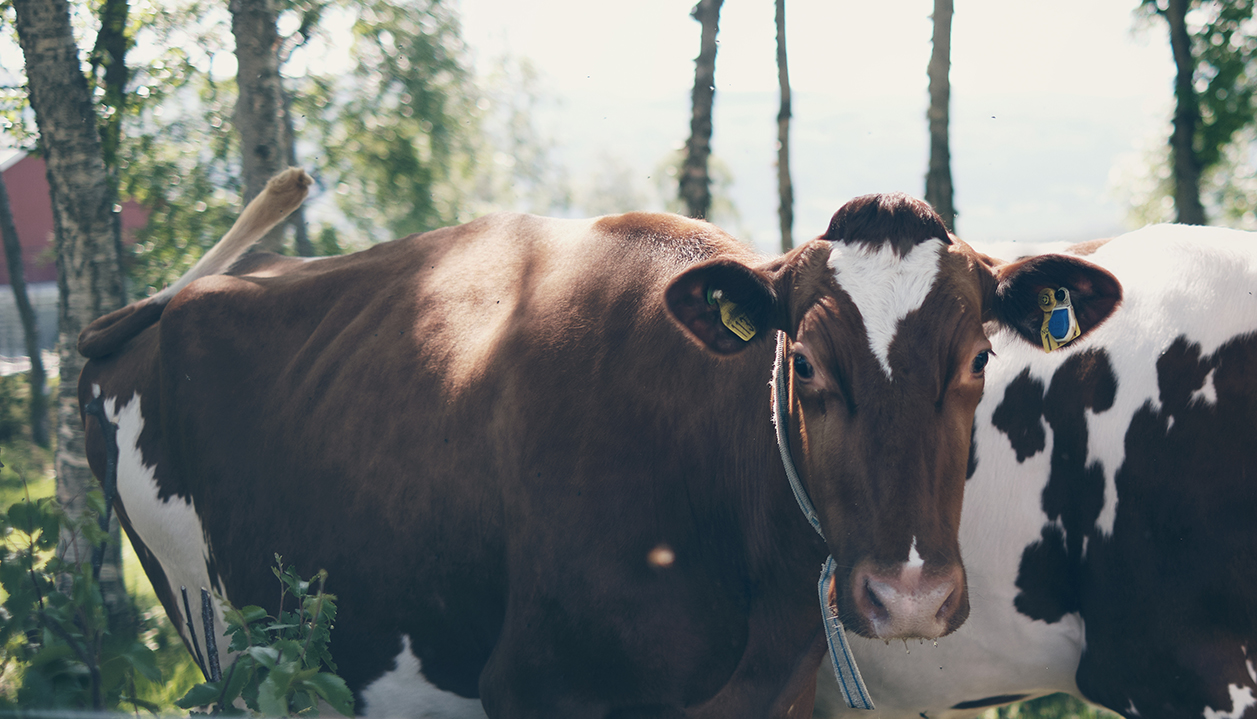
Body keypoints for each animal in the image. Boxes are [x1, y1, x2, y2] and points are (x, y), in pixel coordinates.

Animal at [78, 170, 1121, 713]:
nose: (907, 596)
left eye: (978, 358)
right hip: (218, 637)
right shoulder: (537, 688)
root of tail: (164, 303)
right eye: (804, 365)